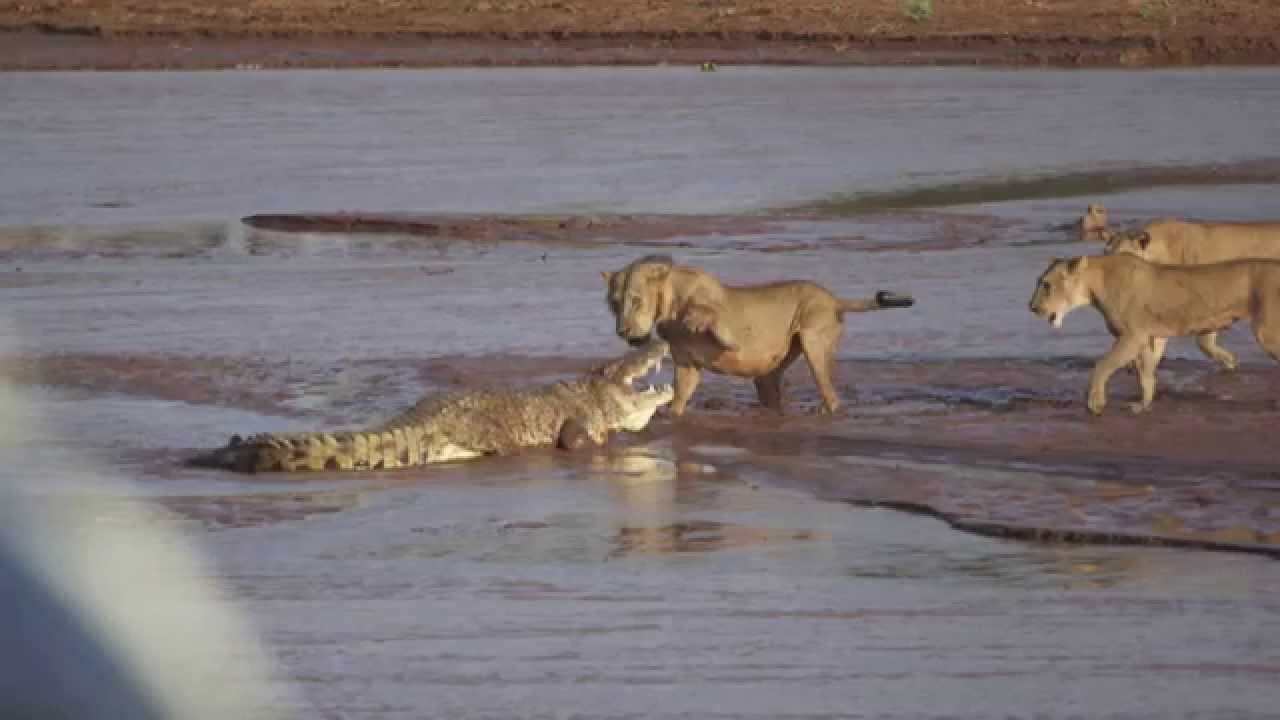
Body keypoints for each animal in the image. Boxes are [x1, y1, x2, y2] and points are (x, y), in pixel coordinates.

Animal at [601, 255, 915, 416]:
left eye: (636, 300)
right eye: (614, 303)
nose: (622, 331)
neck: (668, 305)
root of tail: (834, 298)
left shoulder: (725, 321)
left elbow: (714, 321)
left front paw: (698, 320)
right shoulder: (687, 365)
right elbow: (679, 399)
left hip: (815, 343)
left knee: (832, 396)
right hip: (769, 374)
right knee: (770, 388)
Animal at [1028, 253, 1280, 416]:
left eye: (1046, 285)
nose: (1031, 307)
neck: (1095, 286)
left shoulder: (1132, 336)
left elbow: (1102, 365)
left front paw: (1095, 402)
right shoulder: (1152, 337)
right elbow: (1146, 376)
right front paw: (1143, 406)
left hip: (1266, 332)